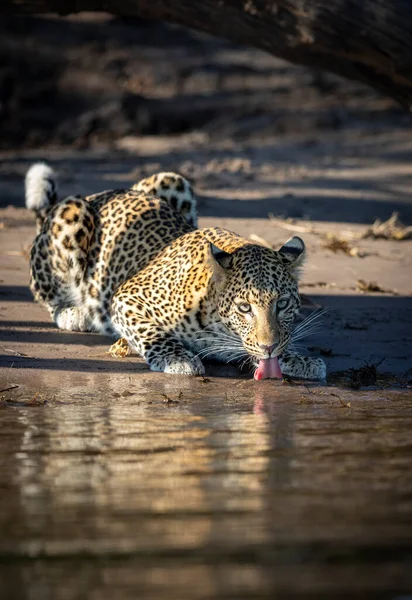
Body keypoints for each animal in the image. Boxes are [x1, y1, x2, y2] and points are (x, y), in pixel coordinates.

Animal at [26, 162, 328, 380]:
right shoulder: (127, 297)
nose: (269, 347)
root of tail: (96, 194)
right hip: (72, 216)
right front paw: (177, 358)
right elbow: (151, 332)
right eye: (245, 308)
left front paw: (295, 358)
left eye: (283, 304)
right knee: (45, 294)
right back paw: (73, 313)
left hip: (173, 181)